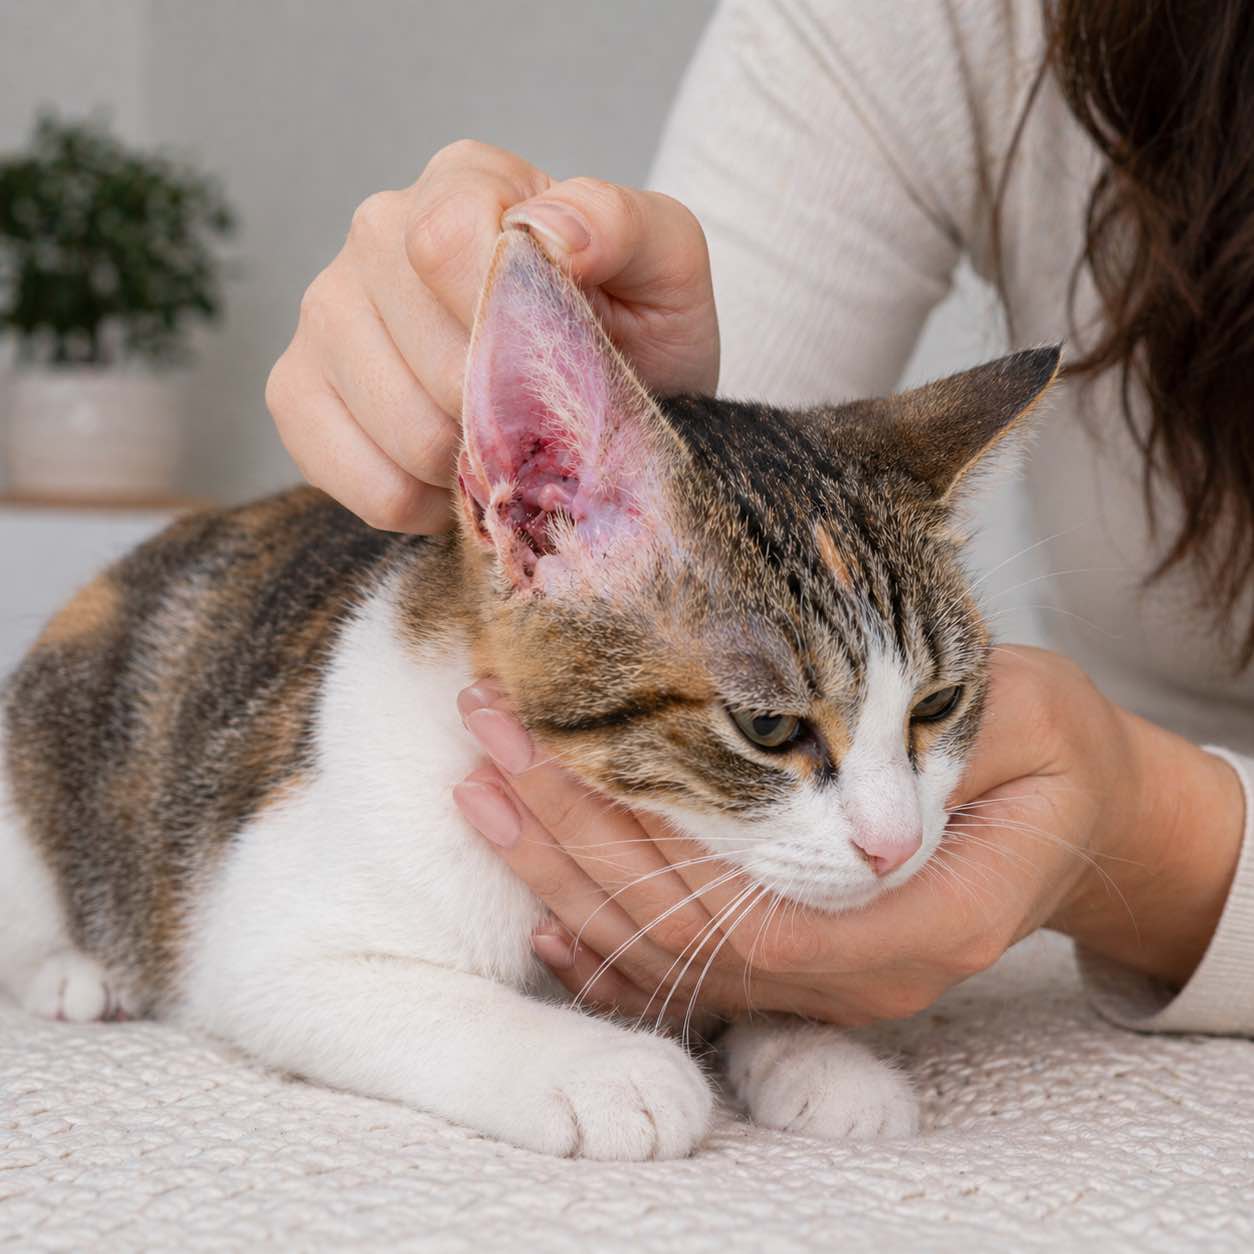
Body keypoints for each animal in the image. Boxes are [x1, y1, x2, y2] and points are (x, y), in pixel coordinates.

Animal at [0, 227, 1058, 1160]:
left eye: (936, 706)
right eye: (768, 727)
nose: (897, 847)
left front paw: (813, 1050)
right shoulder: (259, 929)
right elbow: (402, 991)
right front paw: (600, 1067)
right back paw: (71, 975)